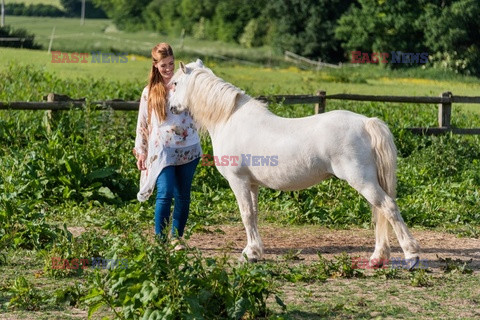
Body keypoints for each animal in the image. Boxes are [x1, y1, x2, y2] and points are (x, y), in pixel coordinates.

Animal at [170, 60, 420, 270]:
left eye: (174, 83)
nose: (171, 108)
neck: (229, 119)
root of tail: (366, 122)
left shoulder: (238, 181)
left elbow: (246, 214)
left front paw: (248, 253)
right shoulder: (252, 184)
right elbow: (254, 214)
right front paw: (255, 251)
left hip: (363, 181)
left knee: (388, 207)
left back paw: (411, 255)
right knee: (380, 213)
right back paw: (378, 258)